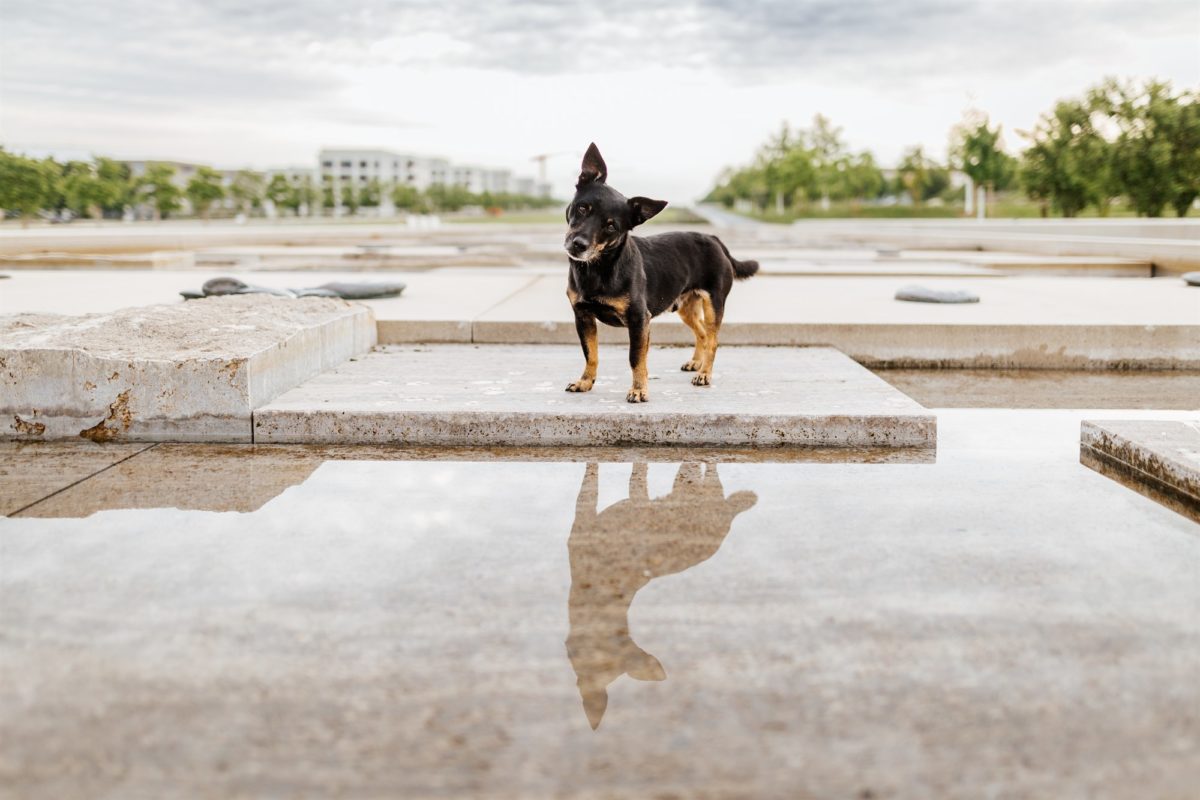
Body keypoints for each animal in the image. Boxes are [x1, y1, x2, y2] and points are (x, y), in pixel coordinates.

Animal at [564, 143, 758, 402]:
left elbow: (636, 358)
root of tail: (713, 238)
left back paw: (704, 374)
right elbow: (591, 353)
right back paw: (696, 363)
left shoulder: (639, 320)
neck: (598, 268)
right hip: (686, 308)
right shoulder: (583, 317)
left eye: (611, 226)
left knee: (713, 340)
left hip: (713, 304)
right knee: (702, 334)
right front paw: (585, 382)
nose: (579, 244)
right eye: (583, 208)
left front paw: (638, 389)